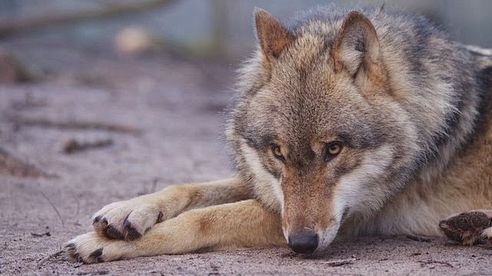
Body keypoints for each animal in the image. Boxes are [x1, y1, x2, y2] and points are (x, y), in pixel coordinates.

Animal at [65, 5, 492, 262]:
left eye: (334, 149)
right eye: (277, 152)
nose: (302, 245)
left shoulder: (354, 218)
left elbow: (206, 218)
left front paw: (102, 243)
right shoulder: (270, 187)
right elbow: (192, 187)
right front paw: (127, 211)